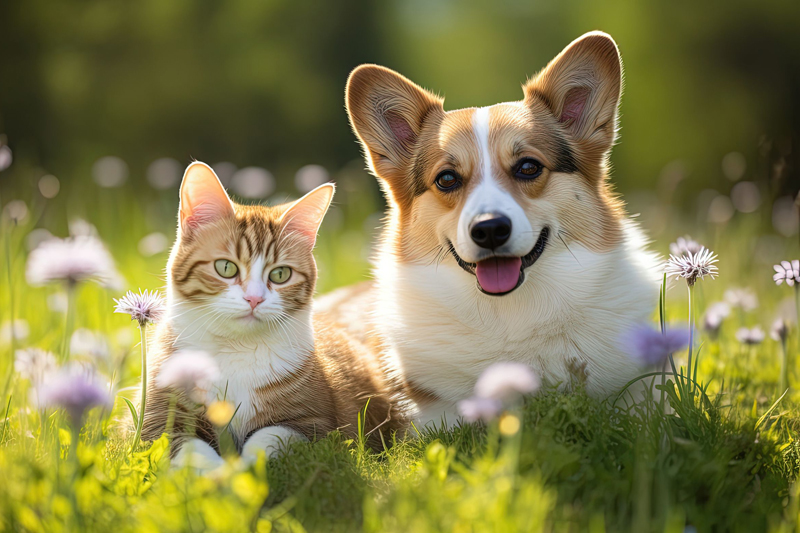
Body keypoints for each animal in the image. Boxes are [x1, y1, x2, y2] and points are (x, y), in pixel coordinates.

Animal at [139, 160, 406, 468]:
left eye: (280, 274)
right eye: (225, 267)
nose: (254, 298)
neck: (236, 351)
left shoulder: (315, 423)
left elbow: (268, 436)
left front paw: (244, 467)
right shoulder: (157, 420)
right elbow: (188, 447)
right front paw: (216, 471)